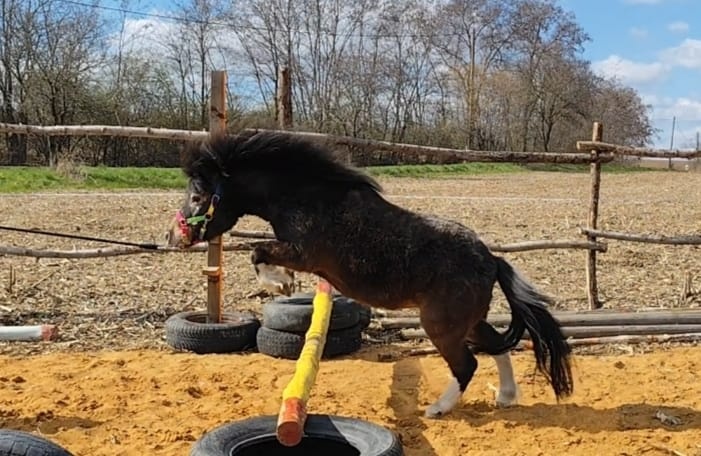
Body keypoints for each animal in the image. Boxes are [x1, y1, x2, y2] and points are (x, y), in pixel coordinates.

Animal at [165, 130, 574, 418]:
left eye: (198, 197)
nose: (173, 237)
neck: (306, 197)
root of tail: (491, 259)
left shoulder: (304, 254)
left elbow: (257, 251)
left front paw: (278, 283)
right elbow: (259, 252)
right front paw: (282, 283)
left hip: (441, 325)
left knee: (467, 364)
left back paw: (438, 409)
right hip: (467, 322)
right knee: (497, 348)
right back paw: (505, 397)